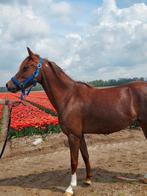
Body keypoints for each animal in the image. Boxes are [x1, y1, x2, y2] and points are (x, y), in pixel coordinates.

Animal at [6, 48, 147, 195]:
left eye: (26, 67)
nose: (8, 85)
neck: (69, 97)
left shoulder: (73, 136)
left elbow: (73, 161)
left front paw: (70, 187)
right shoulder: (80, 135)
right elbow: (85, 156)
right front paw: (88, 180)